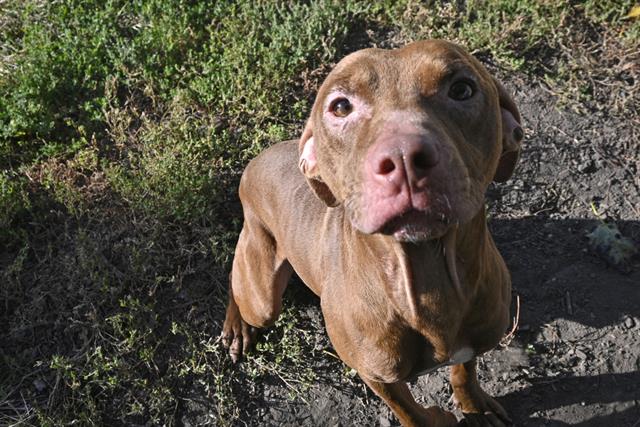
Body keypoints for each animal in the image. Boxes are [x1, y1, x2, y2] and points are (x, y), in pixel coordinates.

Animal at [222, 38, 524, 426]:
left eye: (462, 89)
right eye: (340, 106)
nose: (403, 156)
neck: (427, 281)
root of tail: (258, 158)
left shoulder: (471, 343)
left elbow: (465, 372)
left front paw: (475, 407)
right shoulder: (378, 377)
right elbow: (411, 413)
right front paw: (438, 416)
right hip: (262, 295)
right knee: (241, 287)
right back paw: (237, 327)